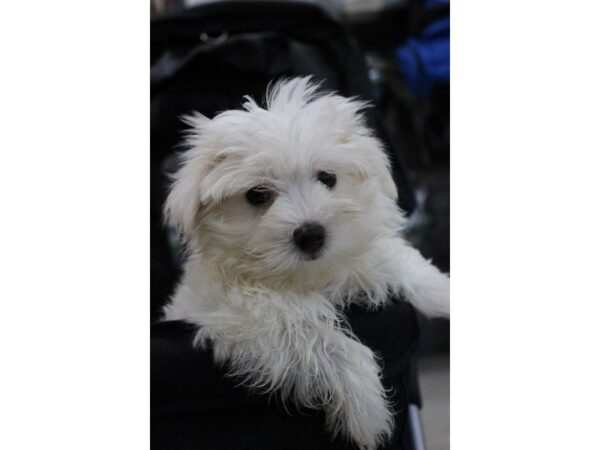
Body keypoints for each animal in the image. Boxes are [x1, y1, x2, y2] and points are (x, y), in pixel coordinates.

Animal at [162, 78, 448, 450]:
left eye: (327, 178)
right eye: (256, 195)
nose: (311, 234)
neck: (300, 279)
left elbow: (385, 255)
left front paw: (443, 291)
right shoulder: (239, 314)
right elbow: (308, 331)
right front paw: (367, 408)